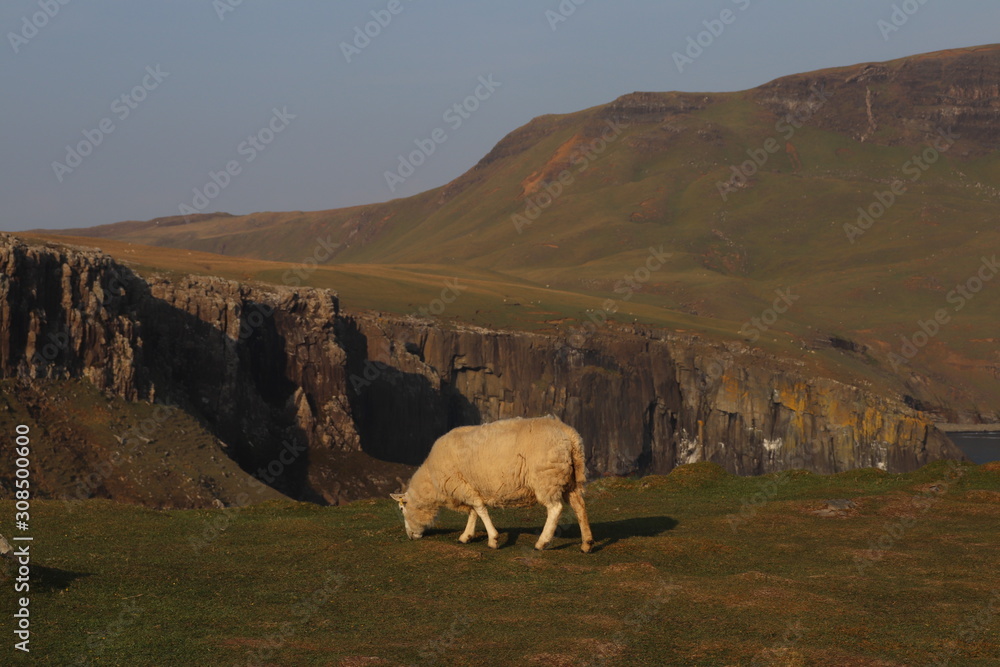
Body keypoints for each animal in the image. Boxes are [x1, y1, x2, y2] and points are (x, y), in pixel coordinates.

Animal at [390, 415, 595, 552]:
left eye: (401, 509)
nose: (410, 536)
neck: (431, 483)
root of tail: (568, 433)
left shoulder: (460, 484)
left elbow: (479, 509)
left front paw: (493, 539)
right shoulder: (469, 486)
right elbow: (474, 511)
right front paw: (466, 536)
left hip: (547, 478)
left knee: (555, 508)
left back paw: (542, 542)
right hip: (569, 479)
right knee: (579, 506)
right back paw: (587, 543)